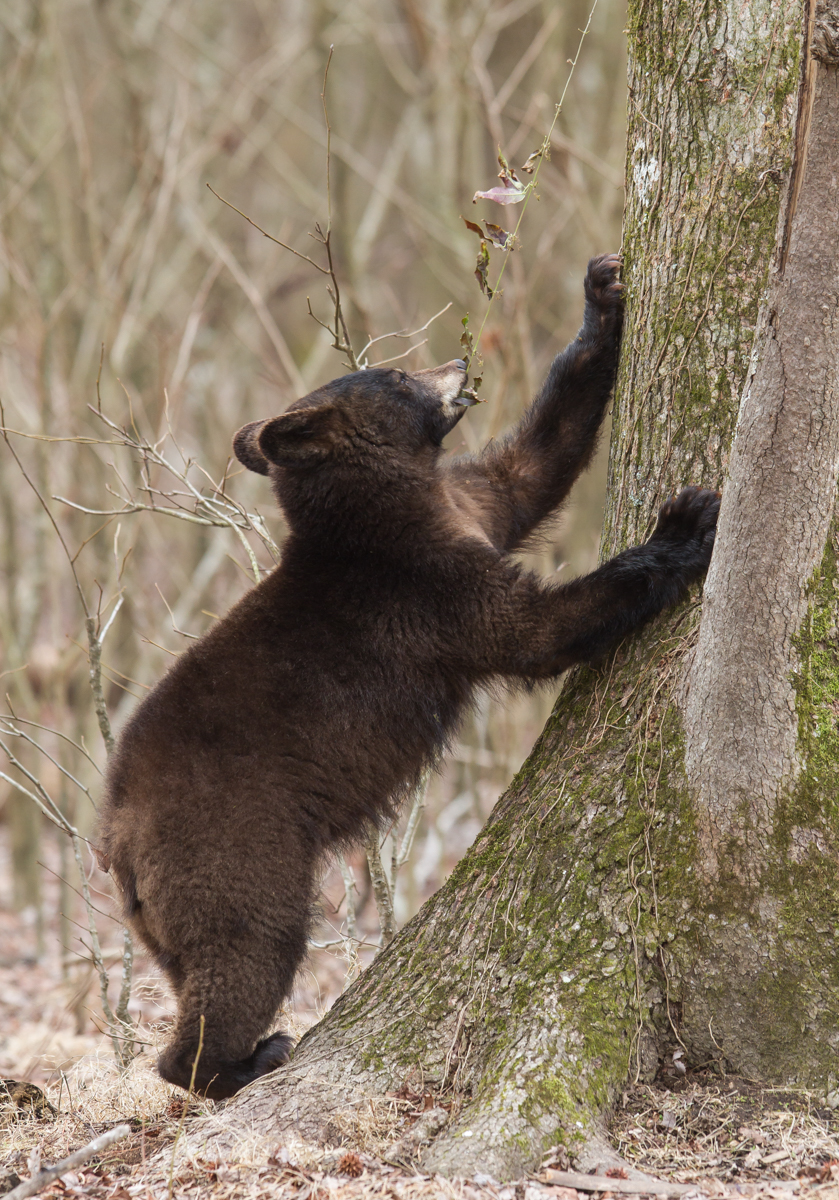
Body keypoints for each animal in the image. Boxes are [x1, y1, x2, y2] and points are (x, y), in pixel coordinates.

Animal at [97, 253, 719, 1099]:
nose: (455, 365)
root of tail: (116, 834)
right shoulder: (422, 594)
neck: (386, 509)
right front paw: (683, 526)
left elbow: (531, 465)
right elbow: (531, 629)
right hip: (232, 850)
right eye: (394, 374)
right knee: (248, 951)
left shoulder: (463, 506)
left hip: (161, 915)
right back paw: (249, 1057)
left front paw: (602, 298)